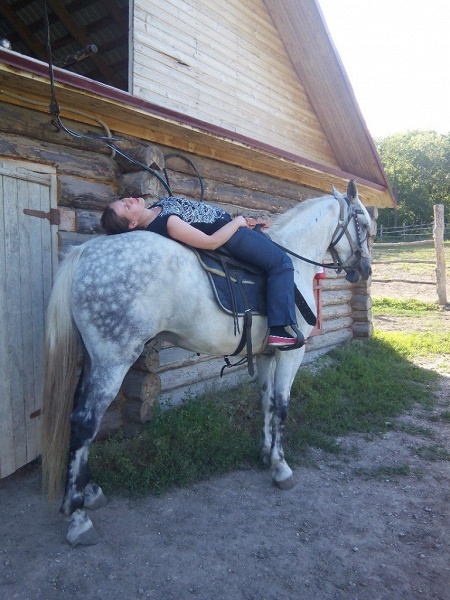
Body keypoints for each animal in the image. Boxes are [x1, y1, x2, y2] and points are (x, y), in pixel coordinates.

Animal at [42, 179, 372, 544]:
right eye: (365, 224)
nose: (365, 270)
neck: (293, 258)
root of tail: (86, 251)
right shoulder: (291, 352)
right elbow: (283, 406)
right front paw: (280, 466)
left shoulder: (267, 354)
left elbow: (267, 403)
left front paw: (265, 454)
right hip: (113, 361)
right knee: (84, 423)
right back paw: (78, 517)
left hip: (92, 358)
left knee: (79, 416)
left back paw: (89, 492)